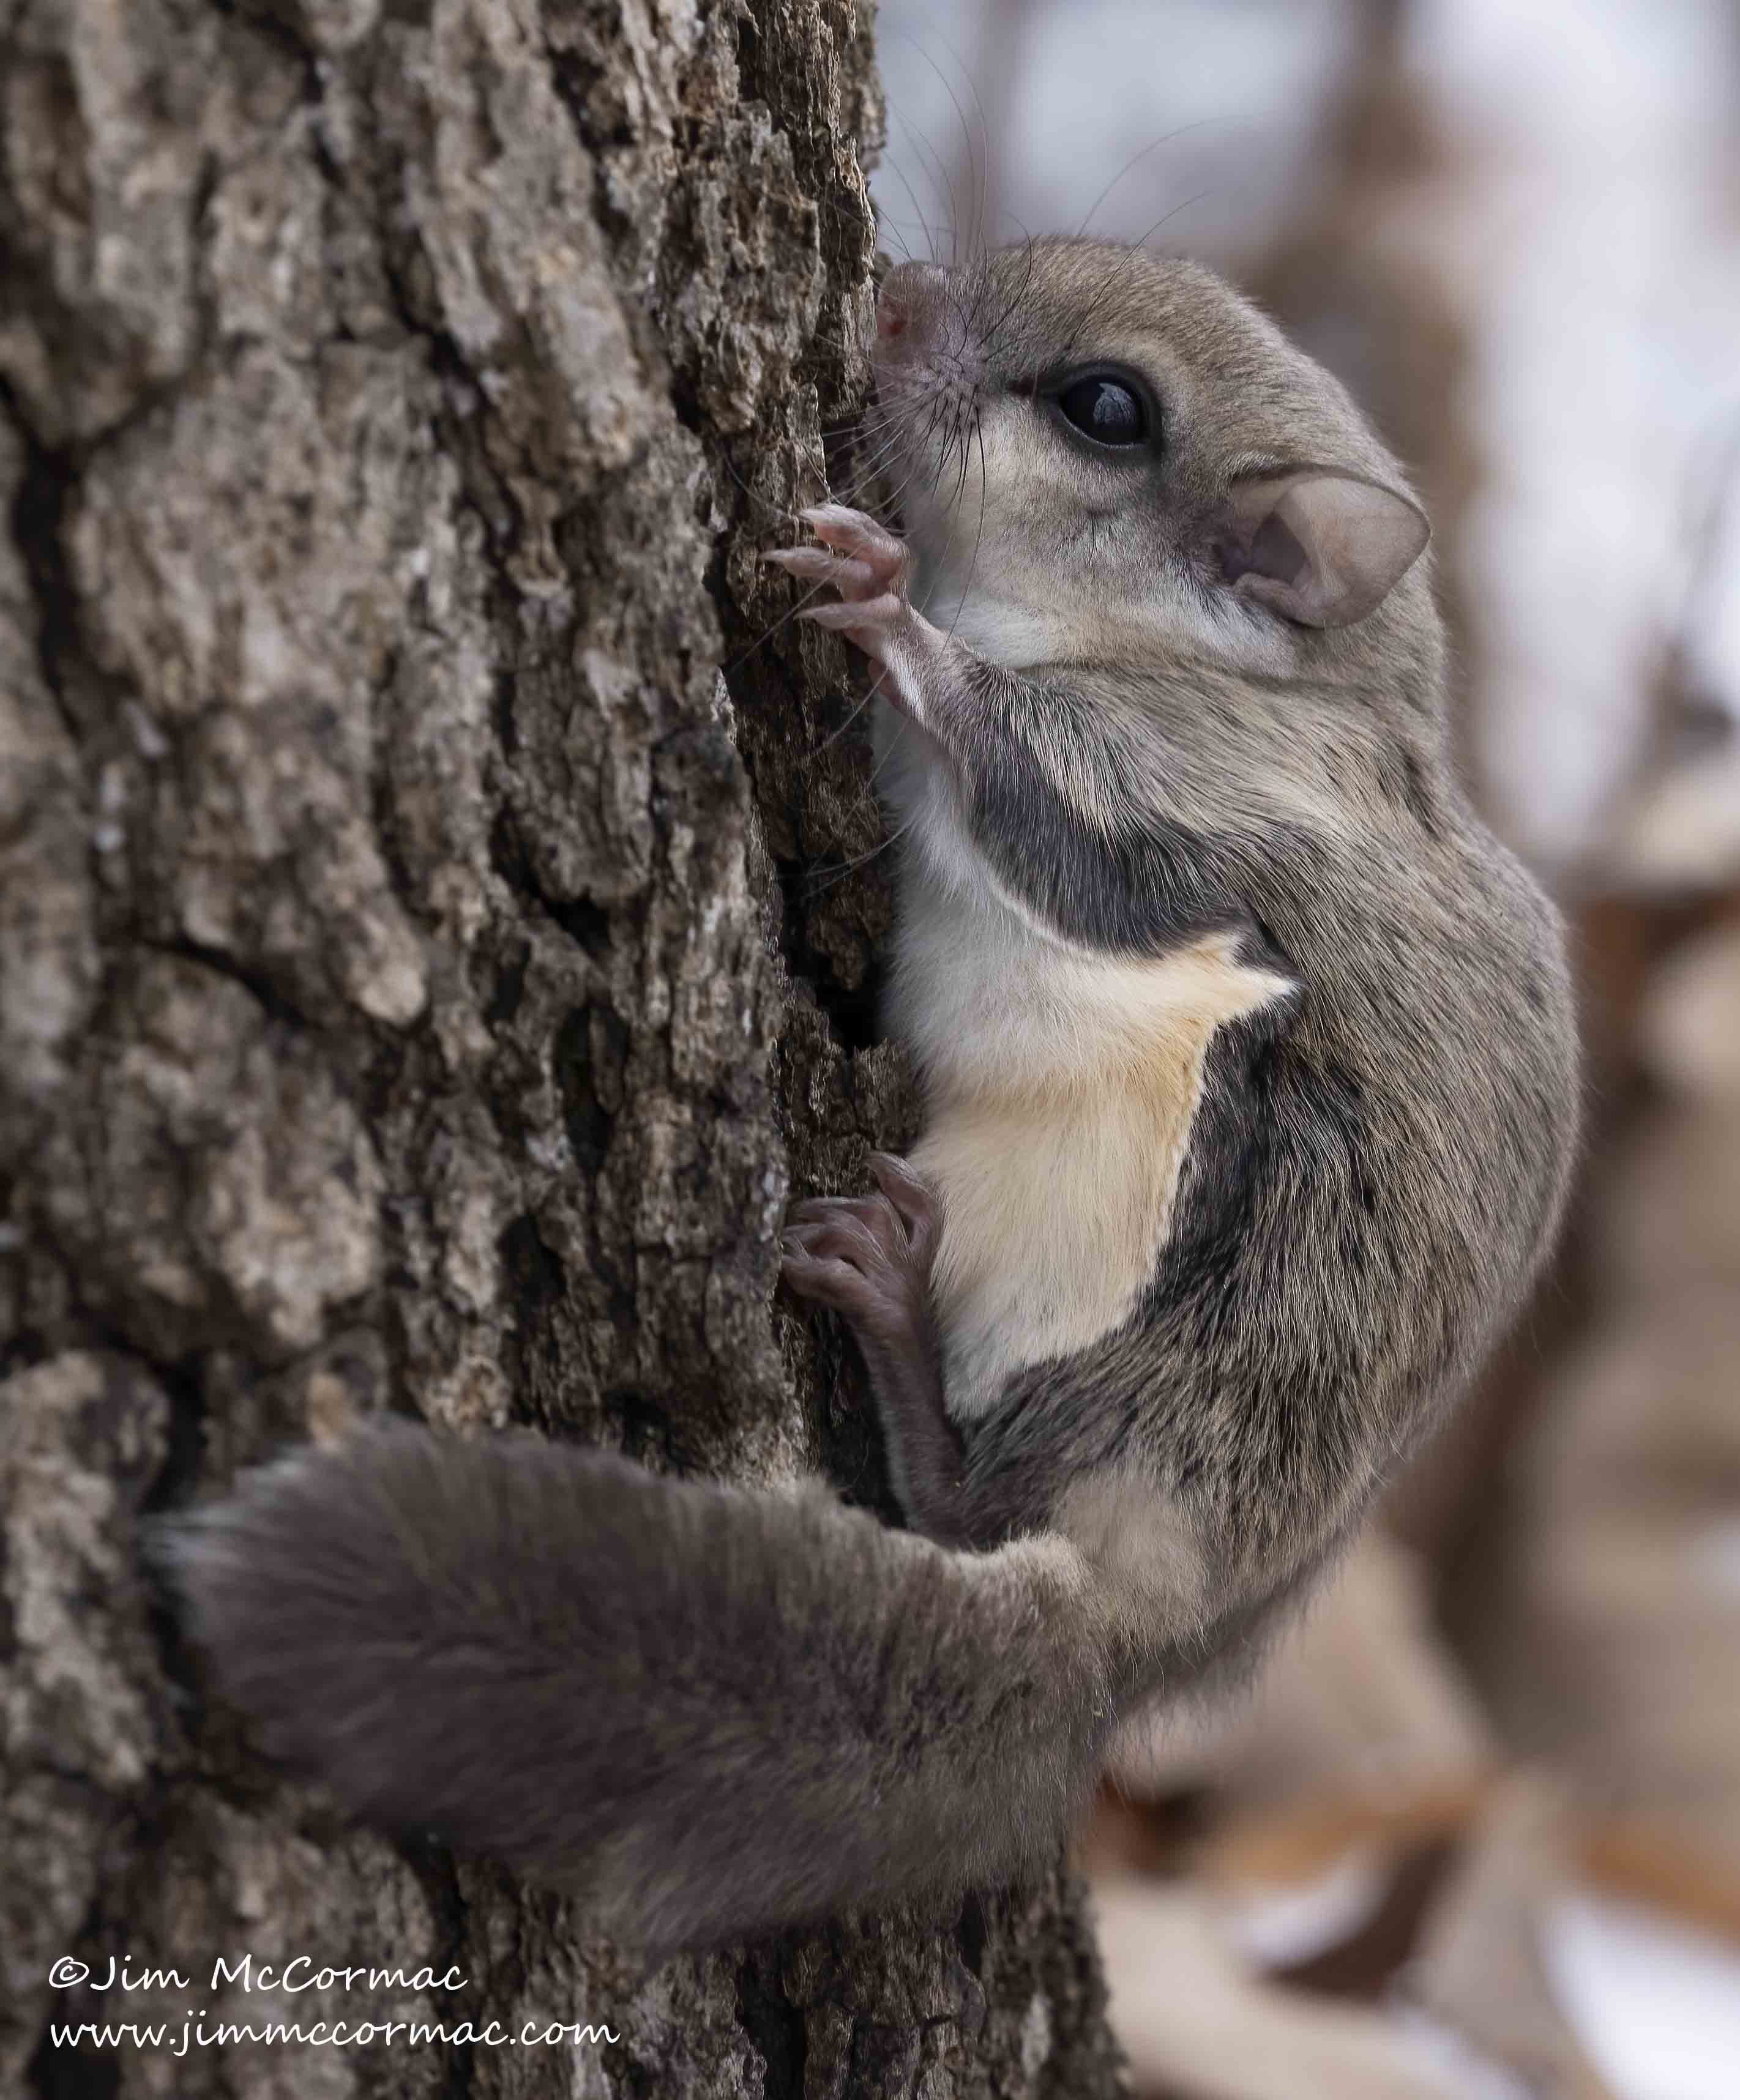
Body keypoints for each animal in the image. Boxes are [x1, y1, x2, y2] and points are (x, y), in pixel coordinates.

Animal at [159, 238, 1580, 1957]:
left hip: (1168, 1246)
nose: (892, 292)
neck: (1258, 677)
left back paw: (895, 1314)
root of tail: (1127, 1646)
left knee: (967, 1506)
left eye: (1107, 407)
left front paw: (891, 613)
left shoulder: (1189, 813)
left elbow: (1050, 809)